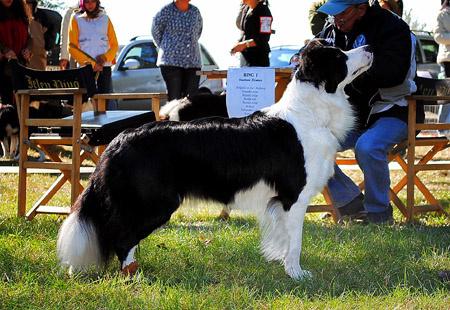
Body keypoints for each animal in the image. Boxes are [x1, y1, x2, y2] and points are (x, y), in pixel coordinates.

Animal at [56, 40, 372, 278]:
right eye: (339, 55)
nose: (369, 46)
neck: (309, 111)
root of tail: (120, 139)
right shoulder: (293, 196)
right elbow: (295, 242)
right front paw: (296, 274)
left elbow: (283, 239)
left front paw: (281, 264)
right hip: (155, 202)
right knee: (121, 236)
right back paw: (132, 276)